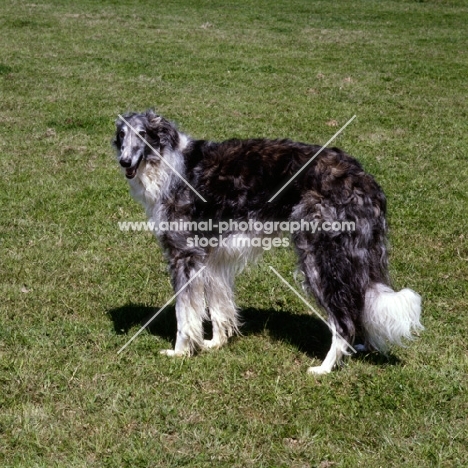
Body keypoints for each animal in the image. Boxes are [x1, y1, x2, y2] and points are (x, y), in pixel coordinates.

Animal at [112, 109, 420, 372]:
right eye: (121, 135)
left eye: (142, 133)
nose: (124, 162)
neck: (168, 165)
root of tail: (365, 179)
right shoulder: (211, 257)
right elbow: (218, 306)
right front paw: (215, 343)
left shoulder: (183, 254)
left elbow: (184, 314)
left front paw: (180, 351)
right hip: (355, 258)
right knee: (359, 306)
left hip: (318, 258)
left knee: (343, 321)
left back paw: (325, 368)